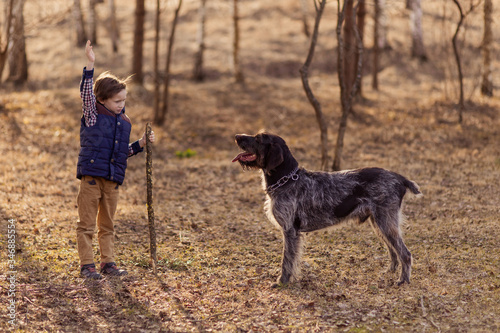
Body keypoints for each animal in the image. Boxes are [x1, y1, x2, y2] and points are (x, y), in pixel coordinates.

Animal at [232, 132, 420, 286]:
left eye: (258, 139)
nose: (237, 136)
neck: (287, 179)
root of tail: (399, 178)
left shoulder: (290, 231)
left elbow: (287, 260)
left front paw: (282, 281)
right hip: (379, 224)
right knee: (393, 251)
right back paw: (390, 271)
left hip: (386, 223)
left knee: (405, 253)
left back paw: (403, 280)